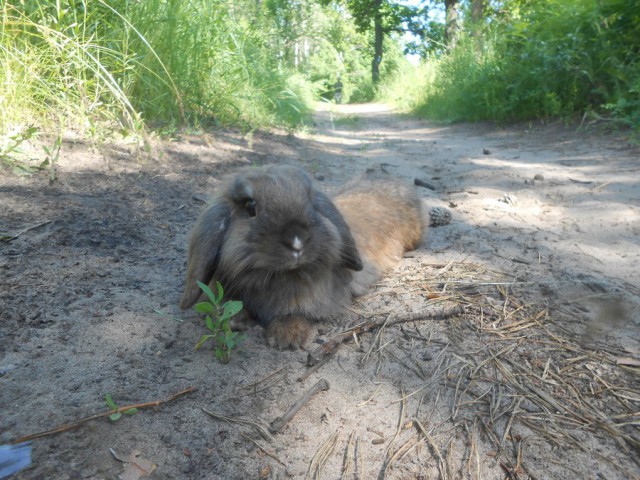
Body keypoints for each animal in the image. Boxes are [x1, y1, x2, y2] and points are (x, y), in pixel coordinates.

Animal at [179, 165, 424, 348]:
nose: (296, 241)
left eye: (309, 201)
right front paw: (233, 319)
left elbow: (297, 312)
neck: (277, 276)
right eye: (250, 206)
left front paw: (287, 337)